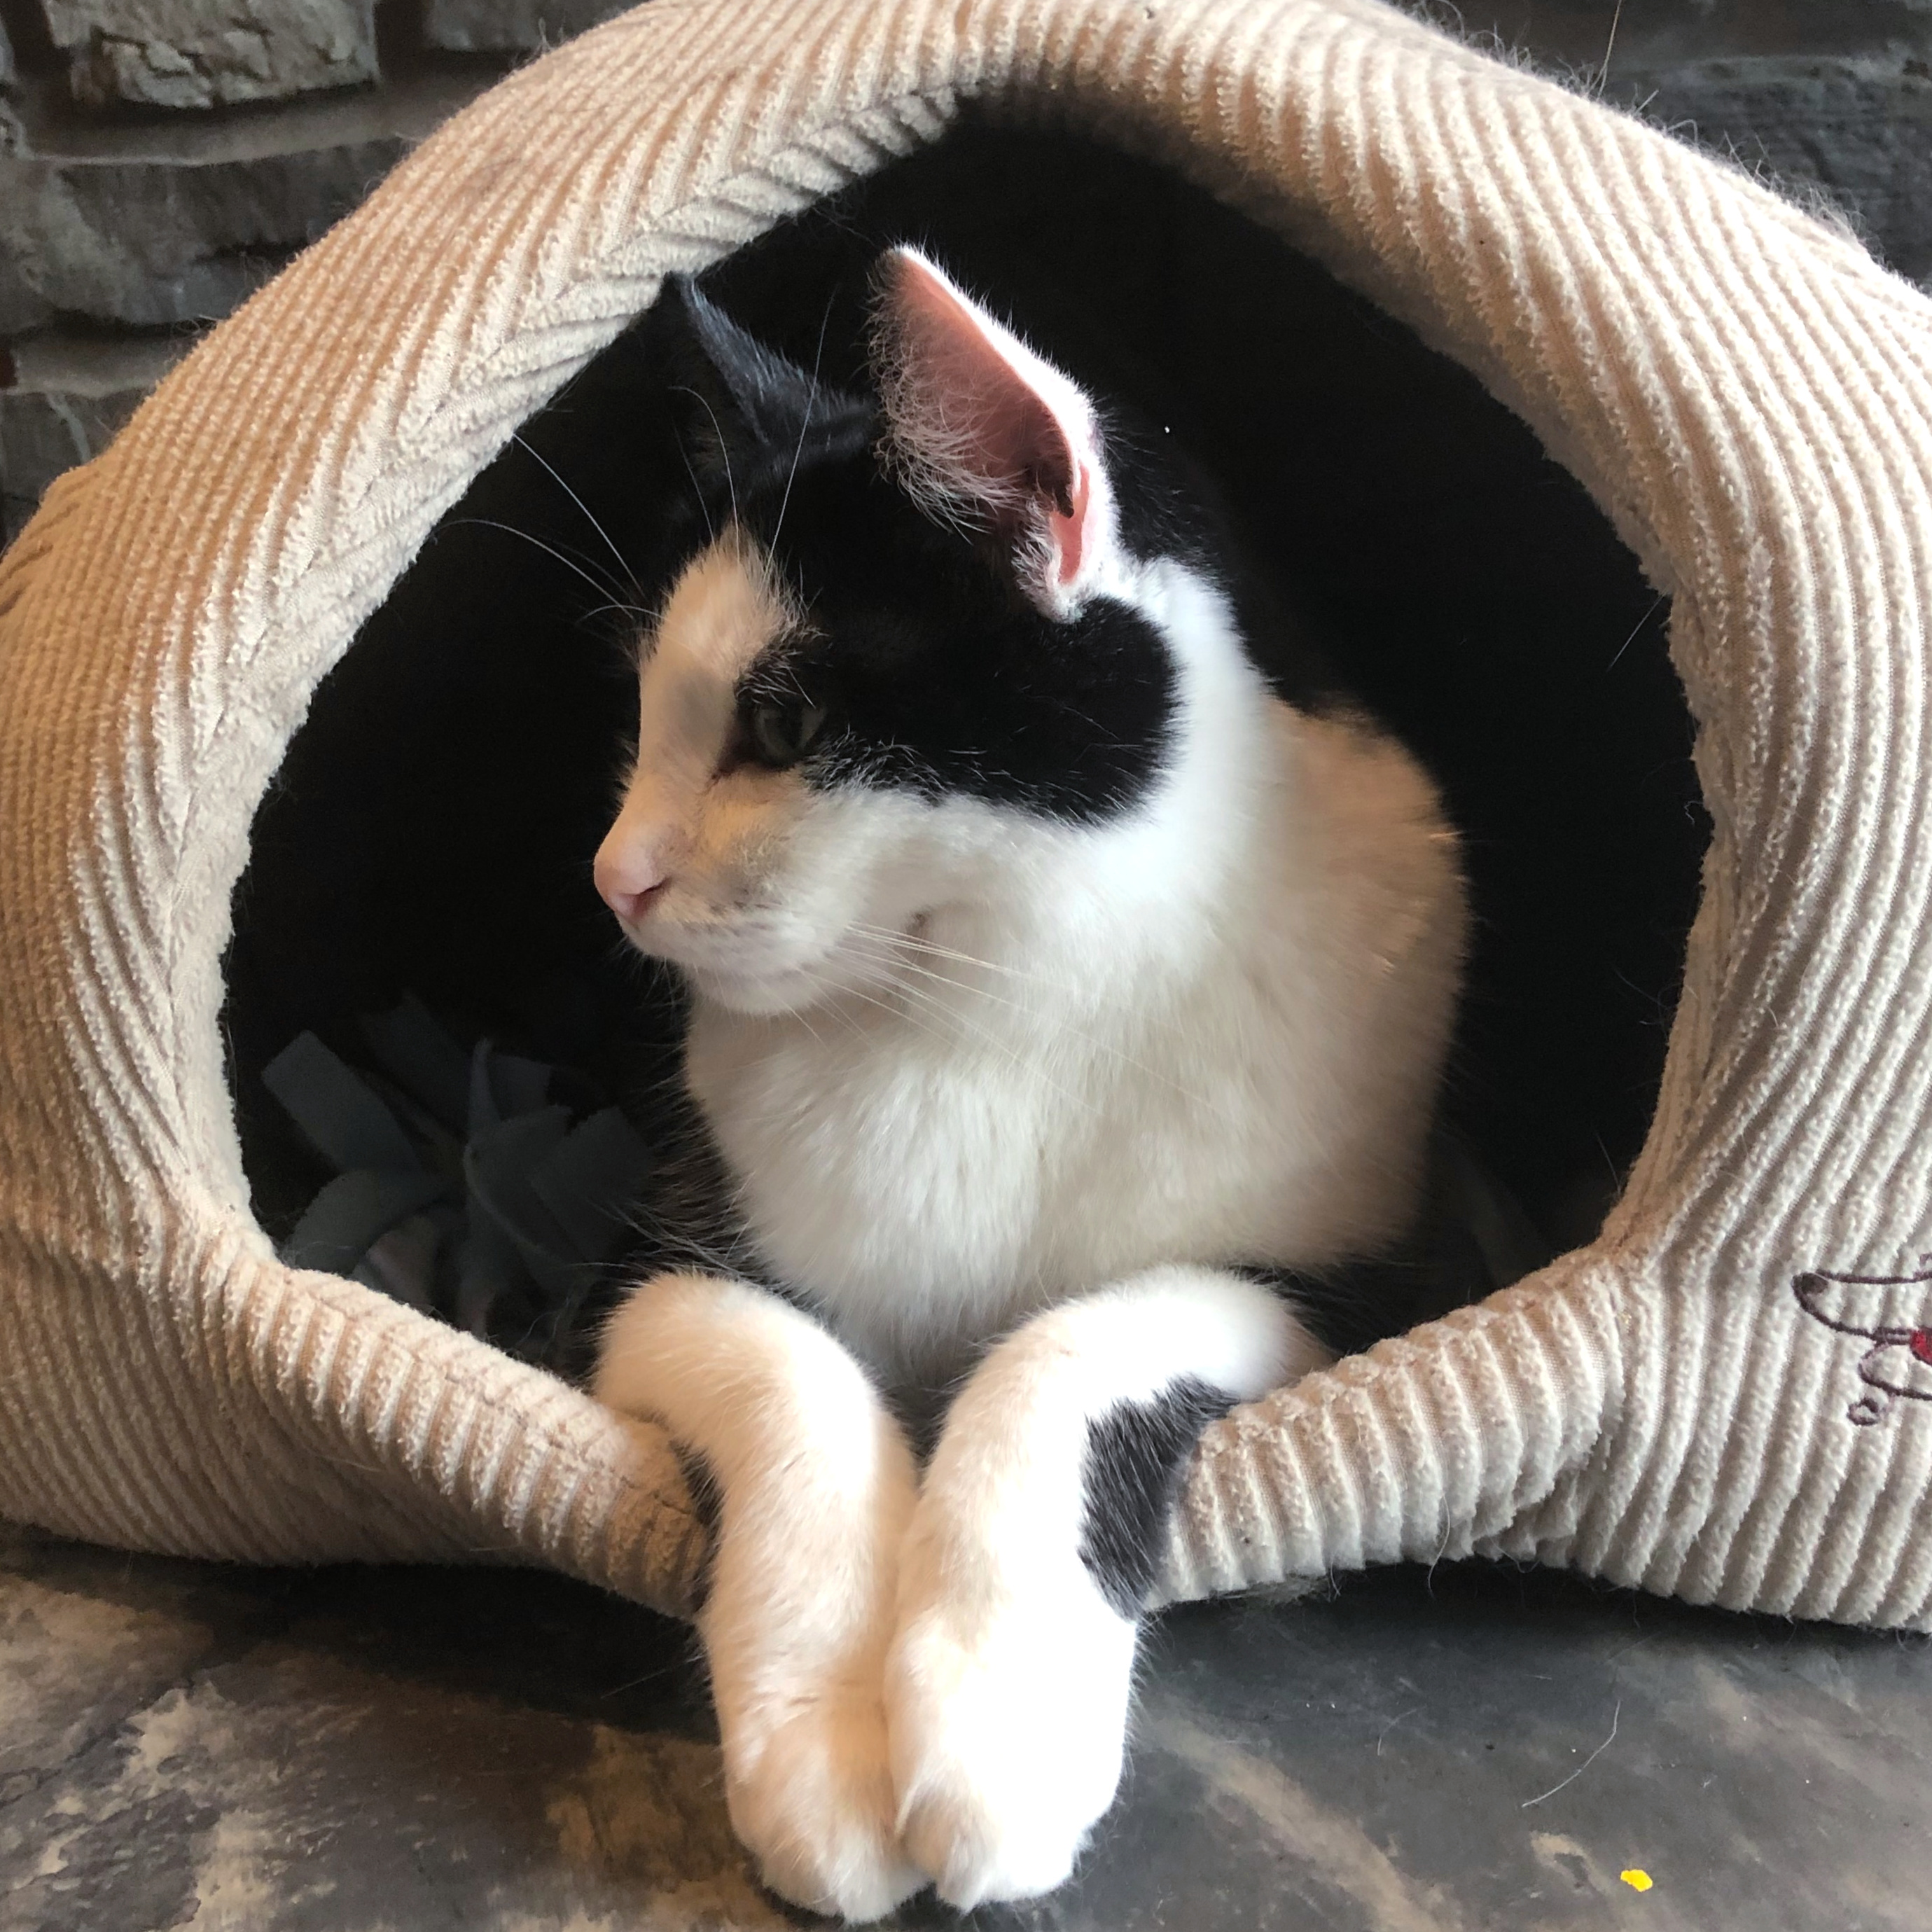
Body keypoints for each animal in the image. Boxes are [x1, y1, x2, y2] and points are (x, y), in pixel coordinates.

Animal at [587, 253, 1460, 1916]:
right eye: (646, 710)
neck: (985, 1001)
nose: (614, 879)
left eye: (784, 722)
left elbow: (1080, 1338)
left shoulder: (1359, 1269)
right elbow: (789, 1364)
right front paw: (824, 1725)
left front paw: (994, 1702)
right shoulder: (652, 1250)